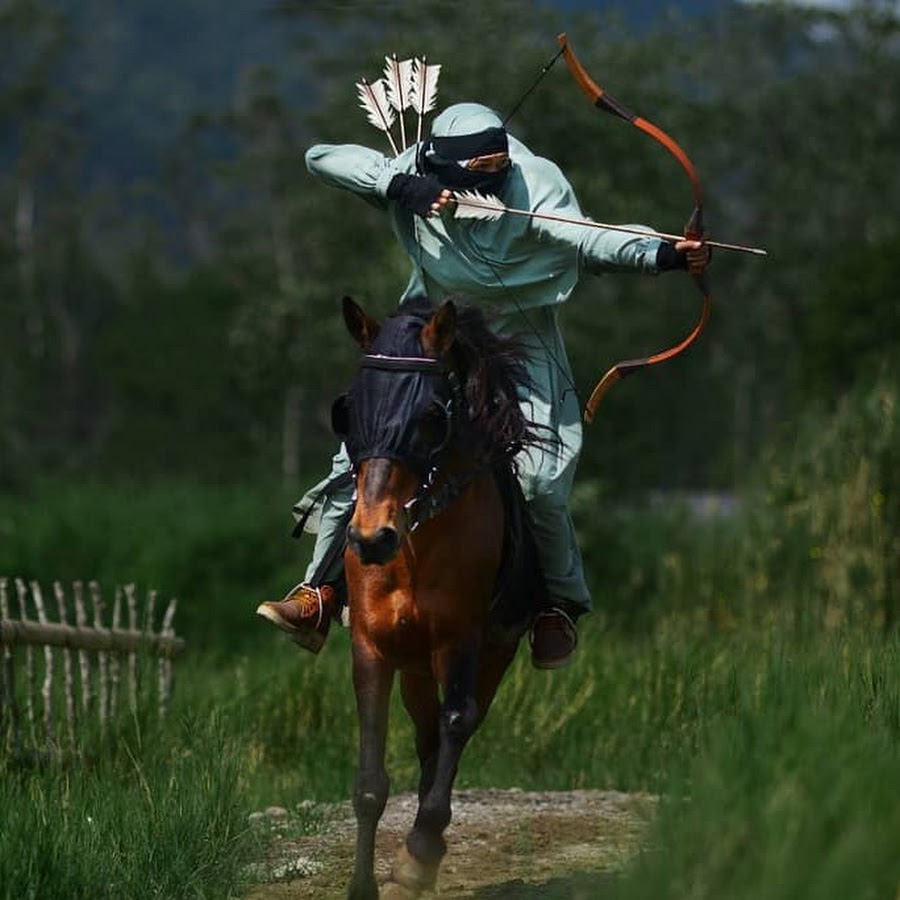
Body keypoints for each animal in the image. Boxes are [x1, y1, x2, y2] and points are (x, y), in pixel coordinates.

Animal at [334, 298, 548, 900]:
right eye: (347, 411)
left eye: (431, 415)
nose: (371, 538)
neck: (415, 547)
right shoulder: (371, 647)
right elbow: (370, 777)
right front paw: (366, 883)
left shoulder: (462, 640)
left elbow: (459, 720)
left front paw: (417, 858)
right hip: (414, 668)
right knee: (427, 738)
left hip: (490, 653)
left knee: (456, 729)